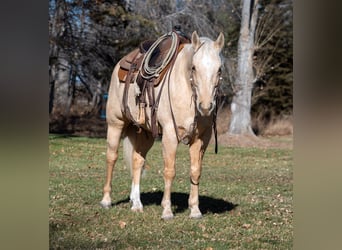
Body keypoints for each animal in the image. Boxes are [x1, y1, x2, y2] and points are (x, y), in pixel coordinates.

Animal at [100, 30, 226, 219]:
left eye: (219, 69)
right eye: (194, 68)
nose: (205, 106)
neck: (185, 88)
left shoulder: (201, 138)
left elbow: (196, 170)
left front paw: (195, 210)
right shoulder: (170, 134)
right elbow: (169, 171)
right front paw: (167, 210)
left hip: (145, 133)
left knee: (137, 161)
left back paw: (137, 203)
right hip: (115, 123)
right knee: (111, 157)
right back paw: (106, 200)